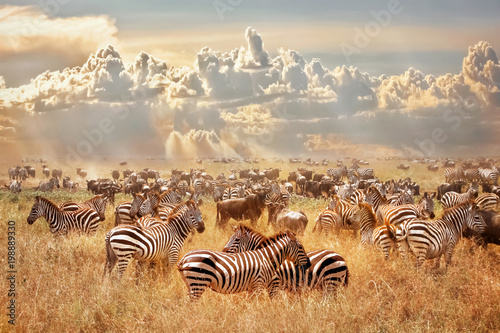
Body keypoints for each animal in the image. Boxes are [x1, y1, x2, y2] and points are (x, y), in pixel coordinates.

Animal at [176, 231, 308, 298]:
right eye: (301, 247)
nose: (308, 264)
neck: (267, 258)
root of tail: (184, 258)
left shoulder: (253, 287)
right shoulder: (258, 284)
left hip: (190, 284)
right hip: (198, 283)